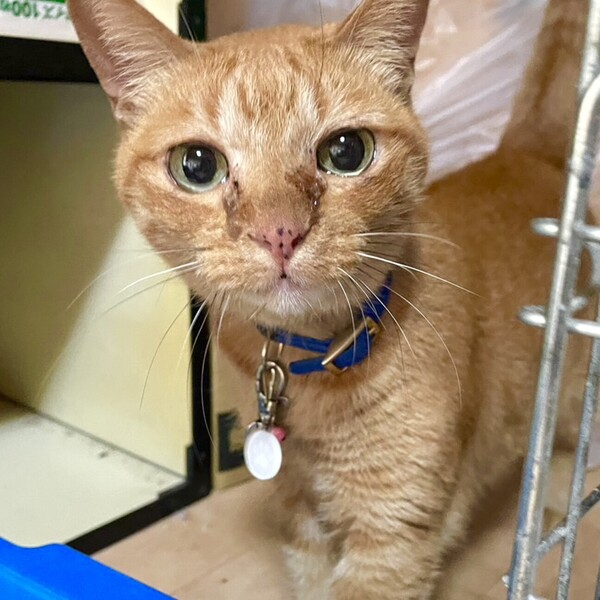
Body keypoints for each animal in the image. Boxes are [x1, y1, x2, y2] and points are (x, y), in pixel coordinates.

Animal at [68, 0, 589, 597]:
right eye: (196, 164)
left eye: (347, 151)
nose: (280, 233)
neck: (310, 370)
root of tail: (525, 153)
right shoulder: (300, 513)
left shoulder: (392, 536)